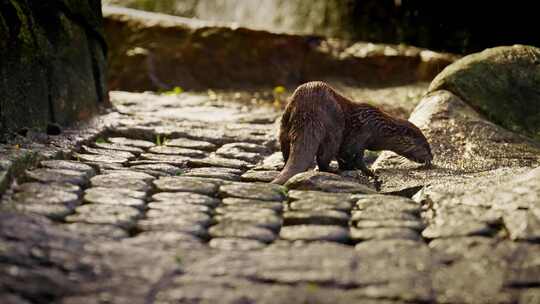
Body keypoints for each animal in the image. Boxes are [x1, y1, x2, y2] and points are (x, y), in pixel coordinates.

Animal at [272, 81, 432, 184]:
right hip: (334, 128)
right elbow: (355, 158)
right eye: (426, 146)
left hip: (285, 122)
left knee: (286, 149)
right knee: (324, 157)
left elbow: (346, 157)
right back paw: (332, 170)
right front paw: (372, 174)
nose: (431, 157)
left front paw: (350, 168)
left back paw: (283, 166)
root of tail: (308, 111)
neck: (378, 127)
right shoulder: (361, 136)